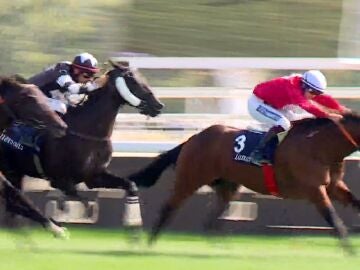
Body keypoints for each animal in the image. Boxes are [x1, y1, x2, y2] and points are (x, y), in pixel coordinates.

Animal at [0, 61, 163, 232]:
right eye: (133, 80)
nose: (158, 105)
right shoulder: (60, 180)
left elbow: (131, 186)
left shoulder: (94, 176)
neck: (87, 132)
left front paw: (133, 225)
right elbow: (83, 201)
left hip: (15, 172)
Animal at [129, 114, 360, 253]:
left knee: (209, 219)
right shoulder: (314, 189)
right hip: (189, 179)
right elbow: (333, 218)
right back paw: (150, 242)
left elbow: (355, 202)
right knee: (169, 207)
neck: (320, 145)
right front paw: (349, 248)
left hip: (227, 186)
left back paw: (222, 247)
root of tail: (193, 138)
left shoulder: (333, 186)